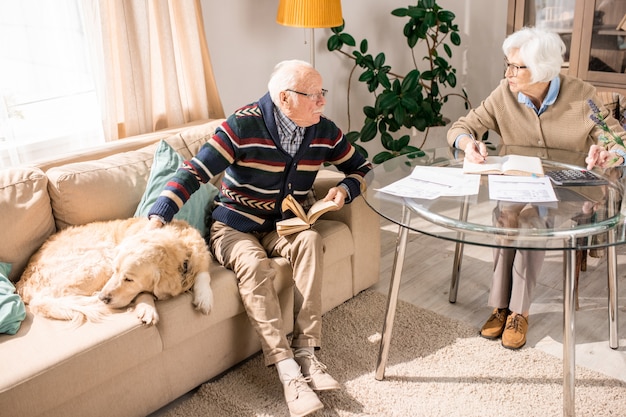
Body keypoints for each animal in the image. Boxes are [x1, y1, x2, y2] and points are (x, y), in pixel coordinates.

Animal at [16, 218, 212, 324]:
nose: (103, 298)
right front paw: (147, 308)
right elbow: (144, 293)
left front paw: (204, 298)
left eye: (129, 279)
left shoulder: (199, 253)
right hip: (98, 259)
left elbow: (204, 274)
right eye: (114, 271)